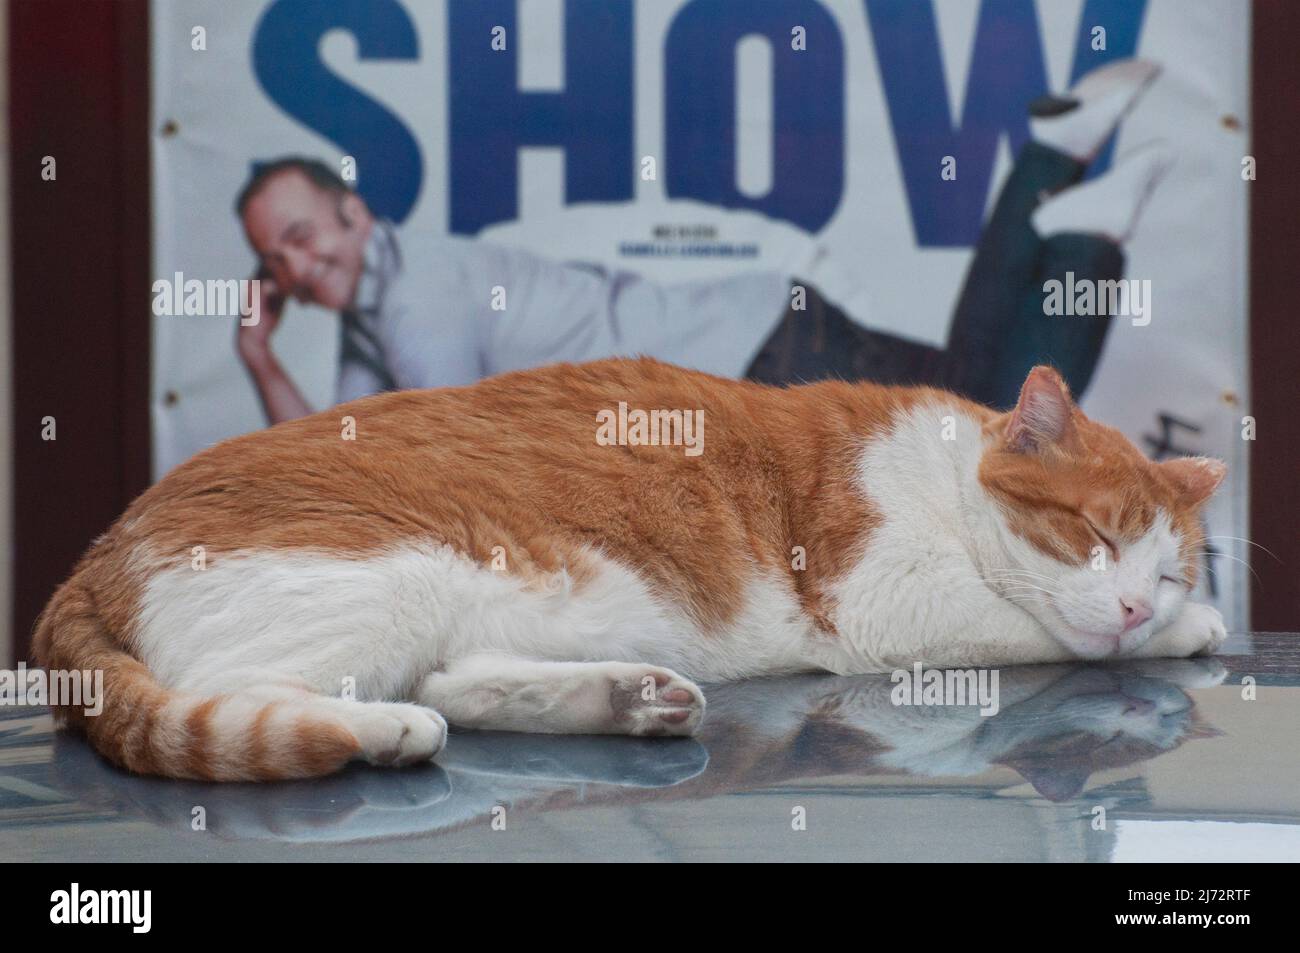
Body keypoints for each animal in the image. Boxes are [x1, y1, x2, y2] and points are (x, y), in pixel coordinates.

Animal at [32, 361, 1227, 774]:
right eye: (1100, 539)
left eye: (1167, 566)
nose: (1140, 605)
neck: (936, 470)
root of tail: (92, 555)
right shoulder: (887, 602)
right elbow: (1034, 626)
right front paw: (1184, 634)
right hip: (383, 582)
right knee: (264, 696)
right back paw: (384, 732)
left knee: (457, 683)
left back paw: (628, 698)